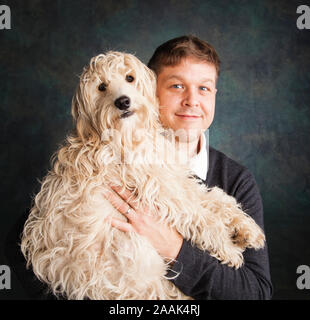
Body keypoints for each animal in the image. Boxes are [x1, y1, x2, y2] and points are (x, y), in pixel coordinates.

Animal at [20, 51, 266, 298]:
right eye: (101, 87)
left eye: (130, 78)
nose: (123, 101)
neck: (129, 136)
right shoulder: (161, 191)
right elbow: (201, 217)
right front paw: (228, 248)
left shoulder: (171, 177)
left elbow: (212, 197)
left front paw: (246, 228)